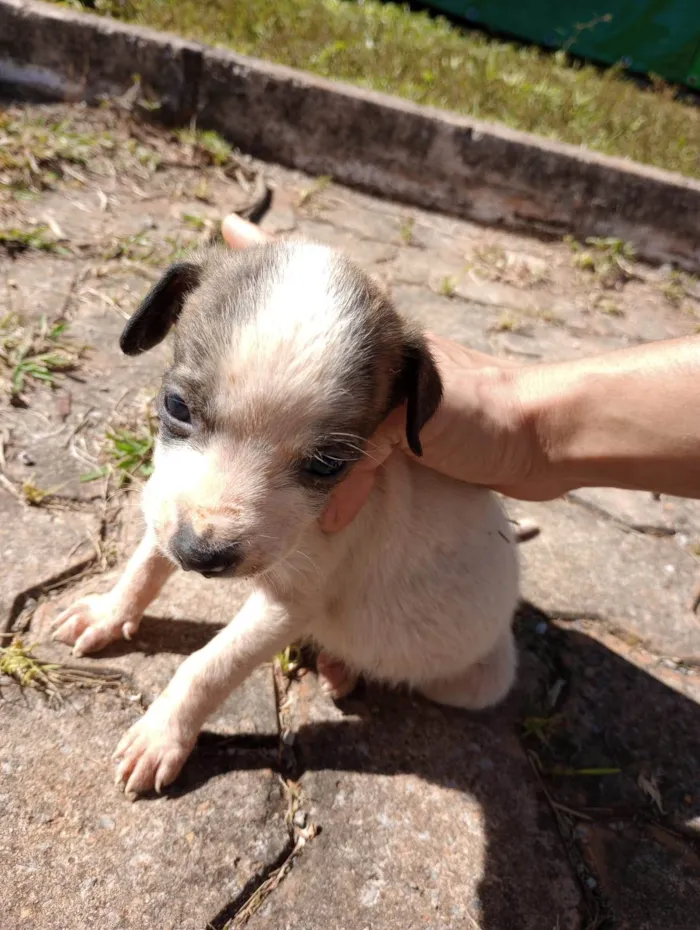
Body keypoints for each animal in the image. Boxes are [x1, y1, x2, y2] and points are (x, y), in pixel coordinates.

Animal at [53, 237, 520, 792]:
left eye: (328, 464)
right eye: (176, 406)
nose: (198, 556)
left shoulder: (288, 605)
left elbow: (209, 665)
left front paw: (161, 736)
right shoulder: (168, 507)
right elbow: (144, 565)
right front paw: (109, 613)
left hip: (472, 681)